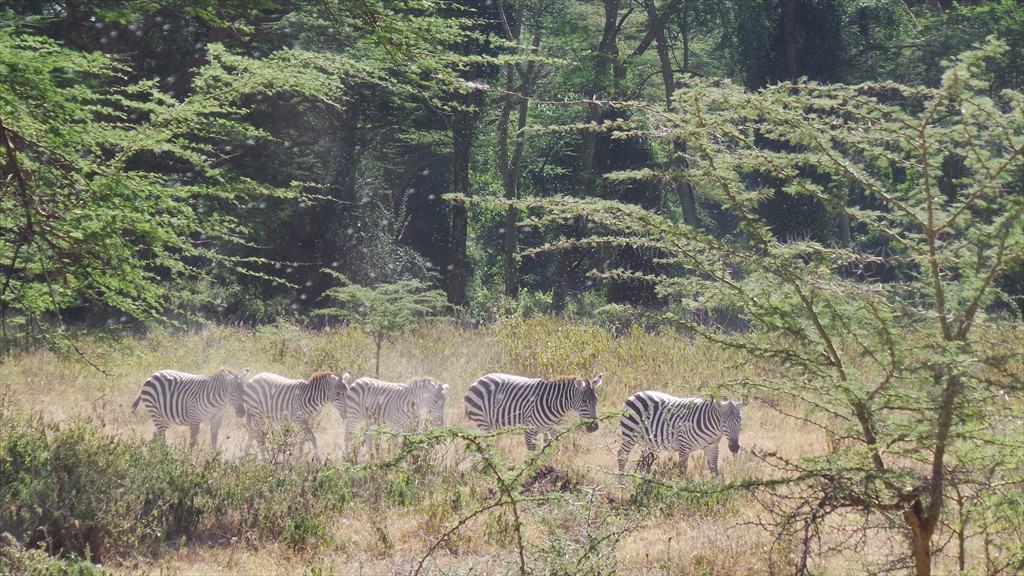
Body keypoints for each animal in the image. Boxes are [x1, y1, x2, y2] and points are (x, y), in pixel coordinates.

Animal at [462, 368, 598, 450]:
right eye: (584, 402)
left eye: (596, 401)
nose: (595, 428)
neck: (553, 403)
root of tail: (479, 379)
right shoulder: (529, 429)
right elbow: (531, 453)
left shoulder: (551, 429)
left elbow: (545, 452)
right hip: (481, 420)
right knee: (486, 445)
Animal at [614, 389, 745, 475]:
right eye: (724, 422)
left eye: (740, 421)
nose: (734, 447)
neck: (714, 431)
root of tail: (635, 394)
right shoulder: (684, 446)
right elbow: (683, 471)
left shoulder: (712, 448)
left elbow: (714, 470)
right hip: (630, 432)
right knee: (622, 454)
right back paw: (622, 483)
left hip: (649, 439)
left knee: (644, 458)